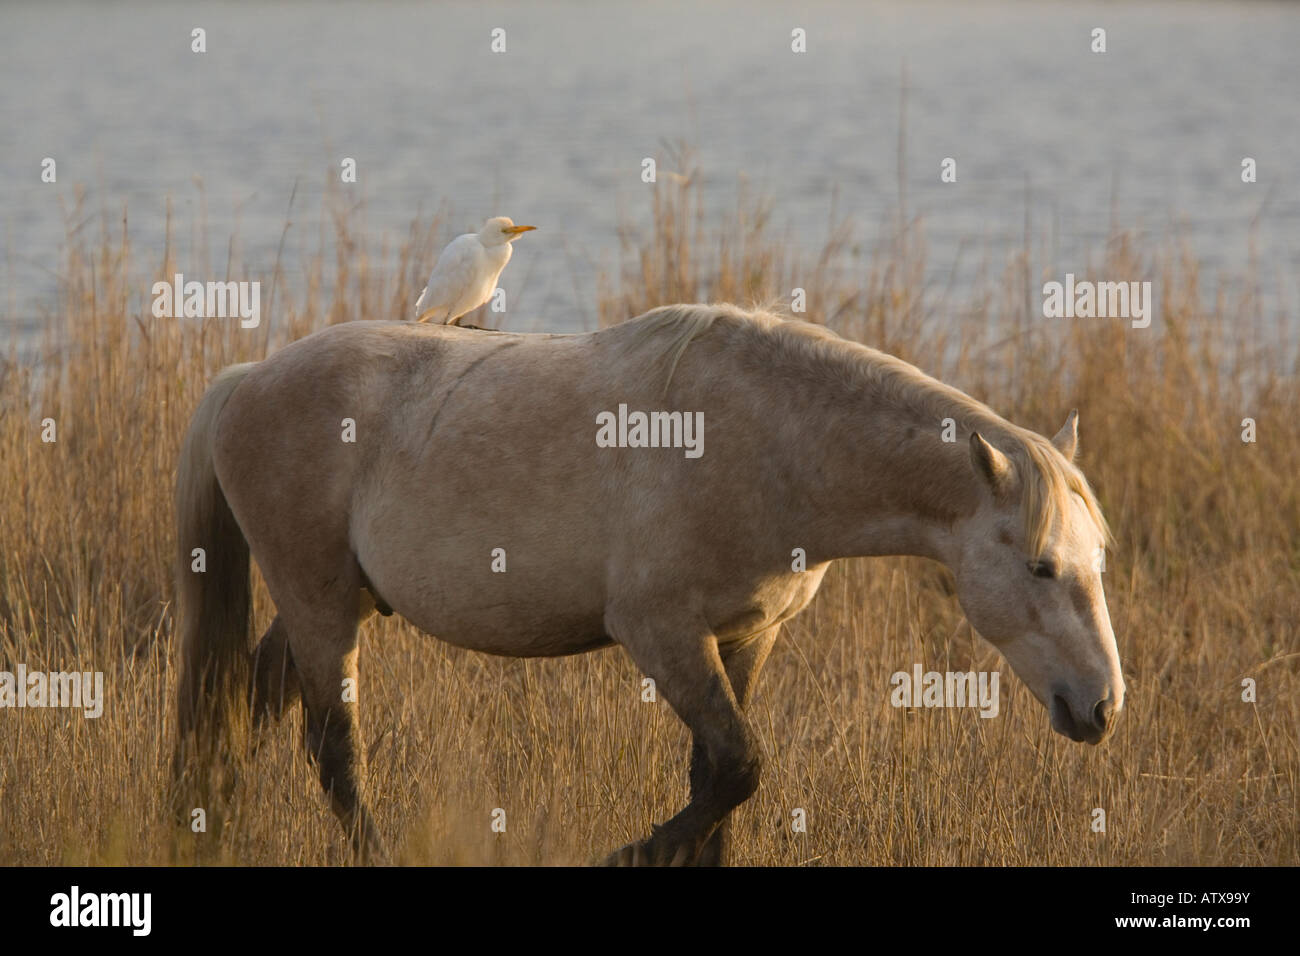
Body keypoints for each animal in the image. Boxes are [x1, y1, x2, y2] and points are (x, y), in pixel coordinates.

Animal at [170, 304, 1128, 868]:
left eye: (1098, 563)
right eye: (1040, 567)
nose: (1102, 707)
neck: (770, 443)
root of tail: (244, 382)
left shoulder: (744, 637)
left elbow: (718, 783)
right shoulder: (660, 633)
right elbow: (738, 770)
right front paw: (626, 856)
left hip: (330, 605)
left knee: (239, 709)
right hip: (321, 605)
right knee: (335, 752)